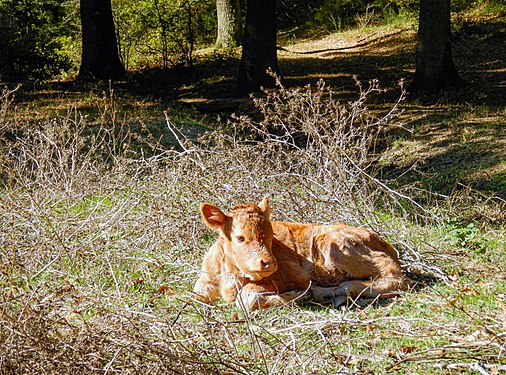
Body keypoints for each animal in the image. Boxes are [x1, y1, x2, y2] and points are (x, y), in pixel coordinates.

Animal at [192, 198, 410, 310]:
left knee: (395, 277)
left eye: (271, 235)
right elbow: (195, 296)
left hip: (337, 245)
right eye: (240, 238)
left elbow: (247, 297)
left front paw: (297, 296)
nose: (268, 263)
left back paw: (338, 290)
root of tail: (376, 237)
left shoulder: (292, 274)